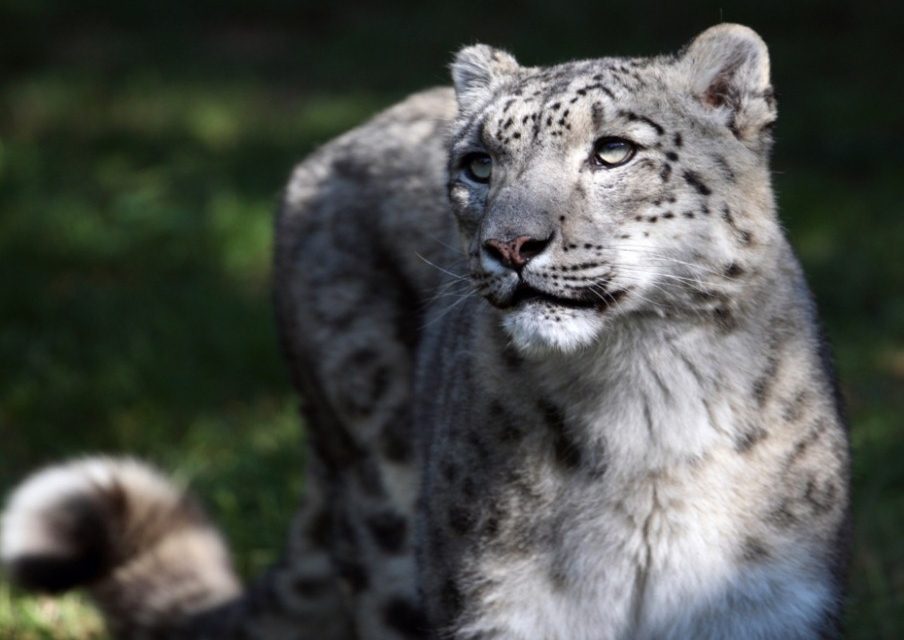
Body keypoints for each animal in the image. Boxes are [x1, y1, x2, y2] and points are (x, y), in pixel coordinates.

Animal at [1, 24, 851, 640]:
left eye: (614, 150)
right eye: (478, 163)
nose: (510, 245)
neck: (643, 402)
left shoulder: (763, 606)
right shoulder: (505, 604)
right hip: (379, 490)